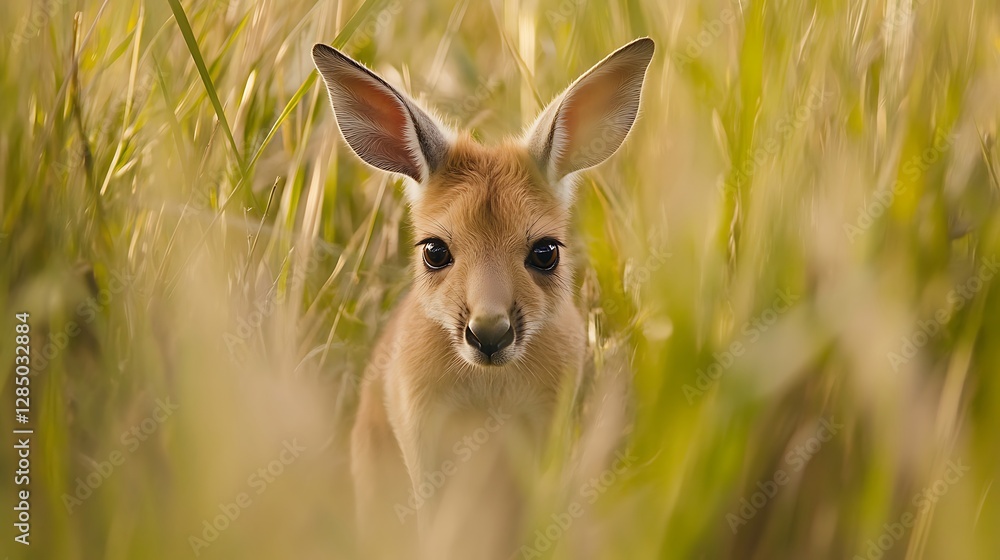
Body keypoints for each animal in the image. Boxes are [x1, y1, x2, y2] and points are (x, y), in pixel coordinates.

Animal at [312, 37, 654, 559]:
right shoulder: (420, 430)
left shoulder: (547, 428)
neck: (489, 392)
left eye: (546, 252)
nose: (489, 335)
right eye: (434, 251)